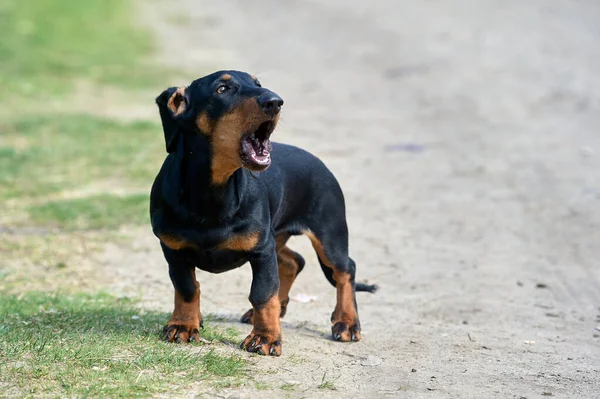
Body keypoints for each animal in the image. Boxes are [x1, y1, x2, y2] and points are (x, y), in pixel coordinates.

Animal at [150, 69, 376, 356]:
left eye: (257, 83)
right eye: (222, 89)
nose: (275, 101)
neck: (214, 190)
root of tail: (320, 163)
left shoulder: (261, 251)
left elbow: (262, 292)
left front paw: (265, 337)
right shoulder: (173, 249)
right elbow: (187, 287)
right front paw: (183, 325)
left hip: (328, 234)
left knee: (345, 270)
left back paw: (347, 322)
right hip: (277, 238)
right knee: (295, 261)